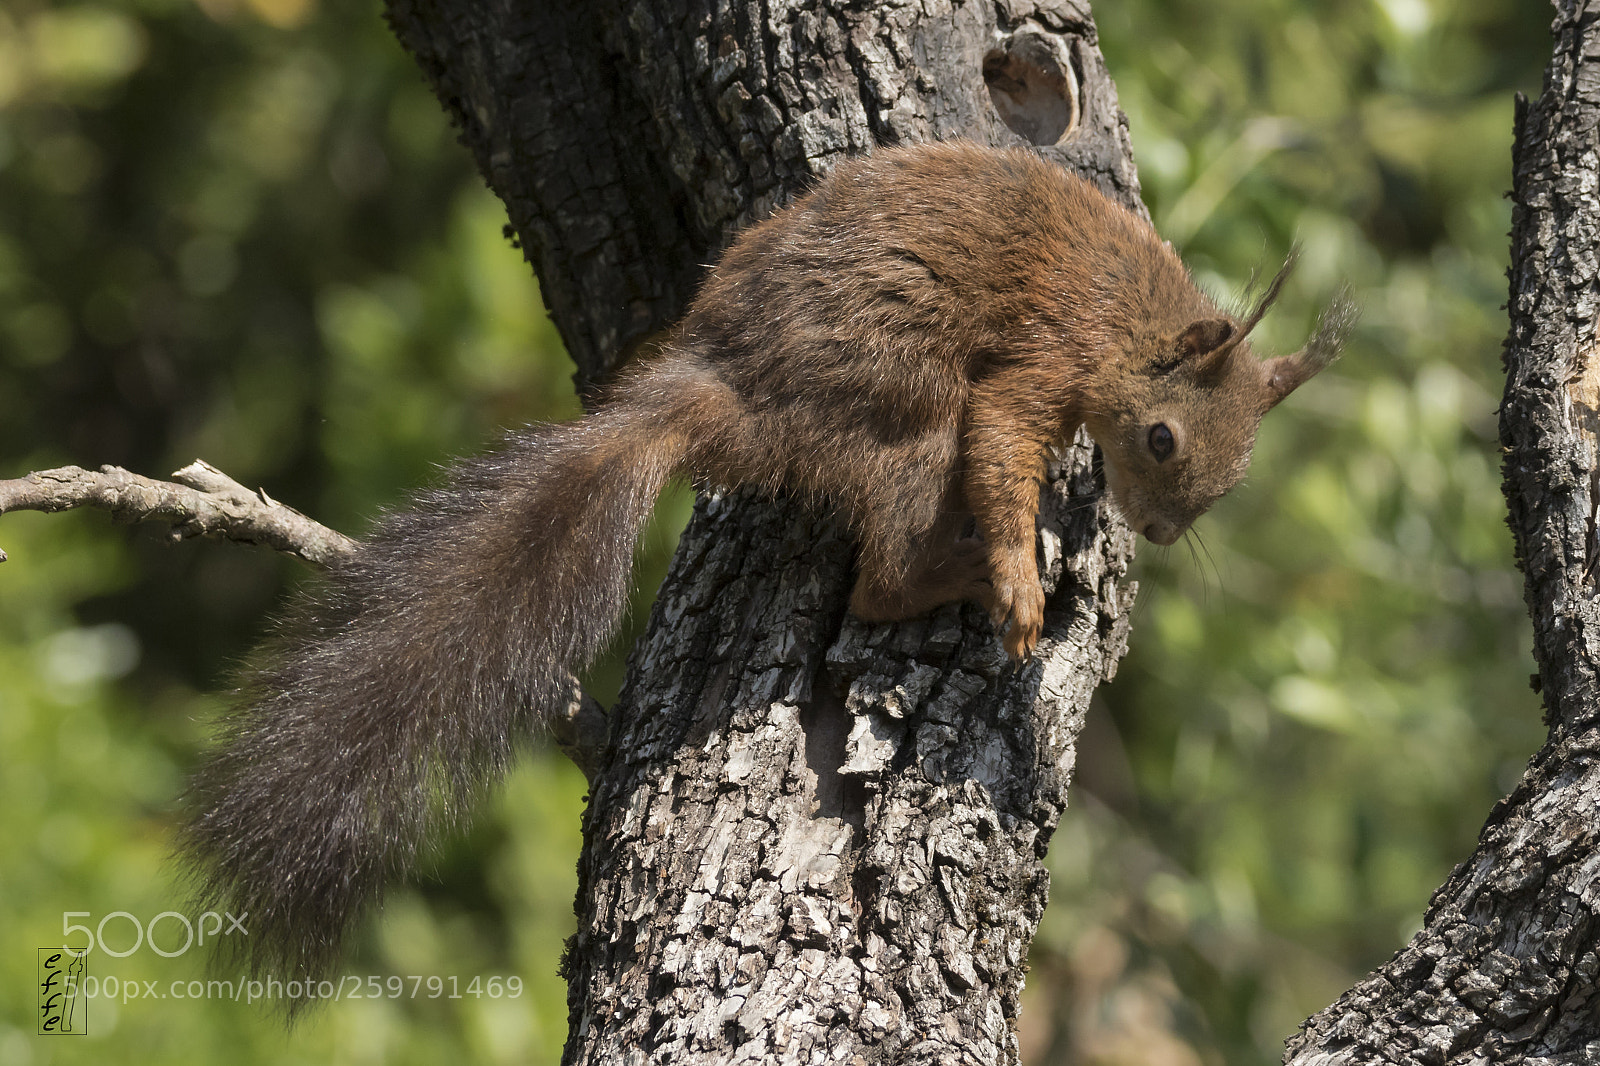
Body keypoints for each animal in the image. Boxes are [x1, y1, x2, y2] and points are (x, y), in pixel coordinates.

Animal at [181, 140, 1352, 988]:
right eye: (1161, 439)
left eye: (1233, 478)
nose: (1157, 533)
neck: (1130, 318)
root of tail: (726, 396)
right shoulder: (1043, 357)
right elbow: (1006, 440)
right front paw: (1023, 578)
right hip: (903, 406)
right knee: (884, 571)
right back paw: (968, 574)